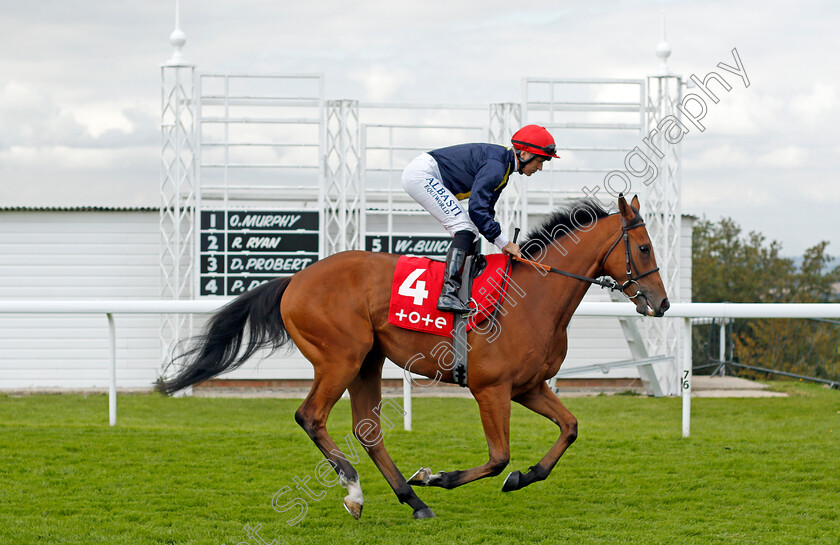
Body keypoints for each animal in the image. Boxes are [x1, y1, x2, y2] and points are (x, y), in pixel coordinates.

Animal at [158, 194, 668, 520]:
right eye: (644, 247)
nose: (661, 304)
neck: (533, 298)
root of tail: (296, 279)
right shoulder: (491, 389)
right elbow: (498, 457)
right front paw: (437, 476)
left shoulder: (528, 387)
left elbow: (570, 428)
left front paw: (524, 476)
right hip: (341, 358)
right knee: (311, 416)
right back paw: (356, 490)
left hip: (368, 361)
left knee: (368, 432)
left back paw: (411, 499)